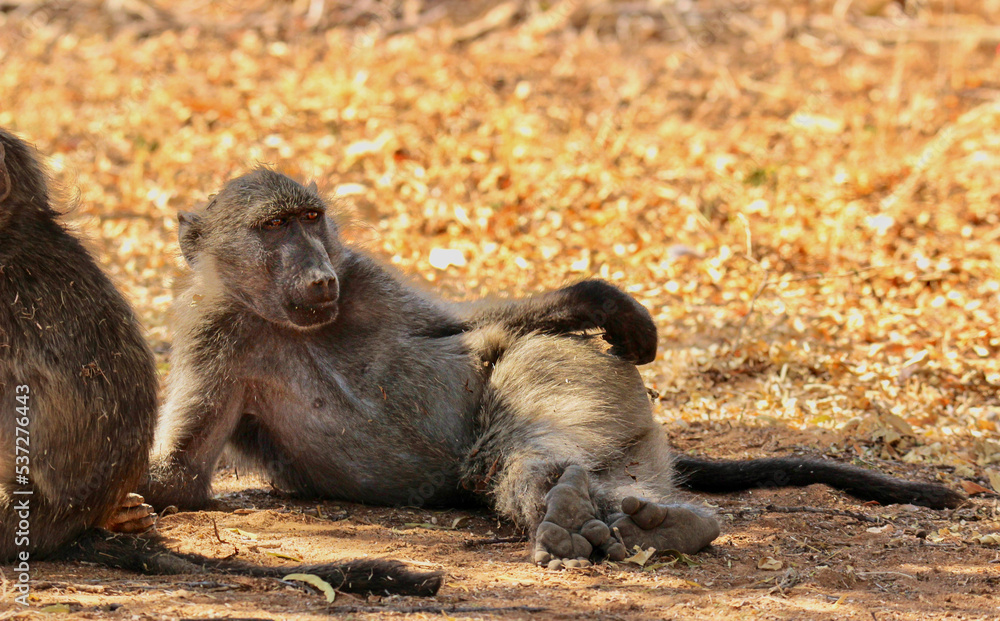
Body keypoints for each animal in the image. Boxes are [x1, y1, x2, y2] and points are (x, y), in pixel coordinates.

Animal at [143, 167, 963, 569]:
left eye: (312, 219)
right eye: (274, 227)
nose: (317, 276)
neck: (287, 319)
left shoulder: (364, 275)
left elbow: (463, 328)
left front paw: (602, 299)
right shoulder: (213, 332)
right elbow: (177, 480)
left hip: (597, 391)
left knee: (528, 373)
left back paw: (627, 515)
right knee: (513, 462)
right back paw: (606, 516)